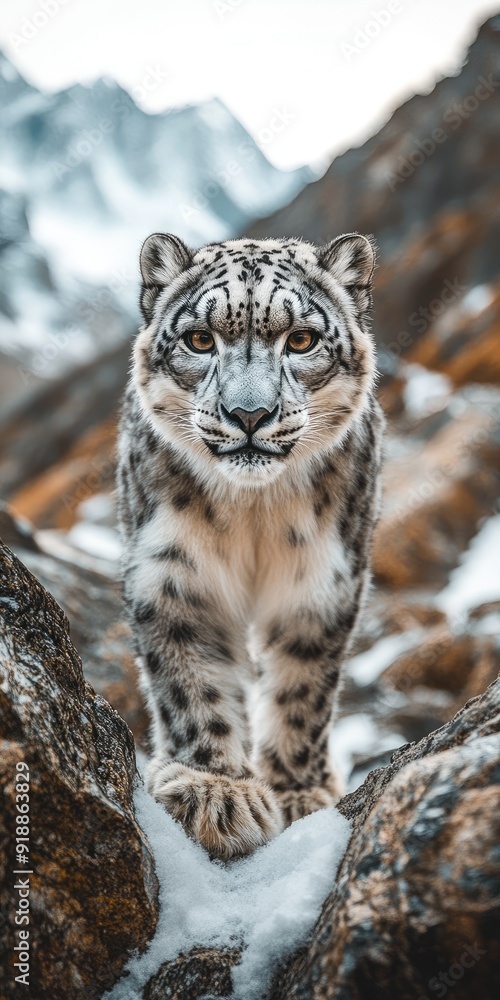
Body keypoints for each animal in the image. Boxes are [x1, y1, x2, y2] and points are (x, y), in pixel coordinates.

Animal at [116, 232, 384, 859]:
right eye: (199, 339)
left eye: (301, 339)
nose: (249, 414)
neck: (255, 514)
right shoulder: (175, 576)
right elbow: (192, 683)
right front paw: (216, 791)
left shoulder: (323, 583)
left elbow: (304, 687)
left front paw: (296, 792)